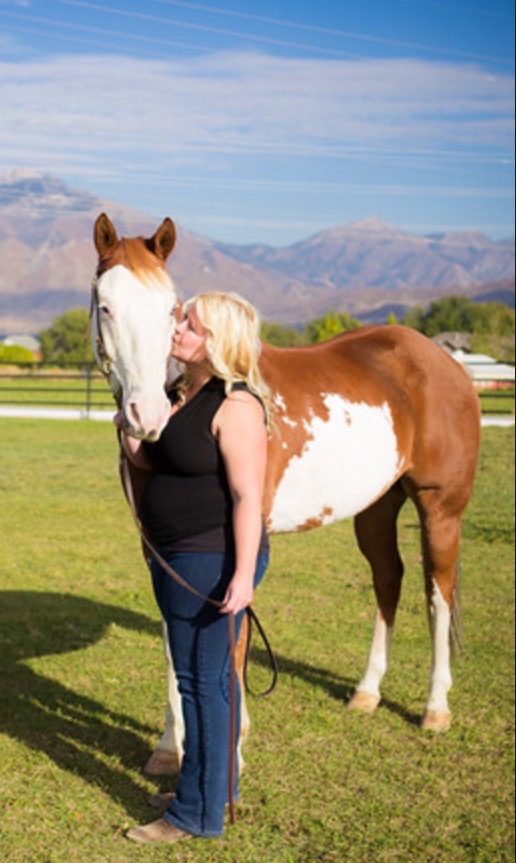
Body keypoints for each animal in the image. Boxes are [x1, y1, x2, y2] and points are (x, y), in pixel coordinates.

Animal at [90, 214, 482, 776]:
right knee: (389, 580)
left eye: (171, 309)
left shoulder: (235, 548)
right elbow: (171, 637)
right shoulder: (157, 548)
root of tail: (441, 362)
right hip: (377, 507)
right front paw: (168, 746)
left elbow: (231, 643)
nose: (147, 414)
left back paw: (435, 707)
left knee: (438, 591)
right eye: (105, 305)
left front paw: (232, 748)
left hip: (440, 507)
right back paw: (367, 692)